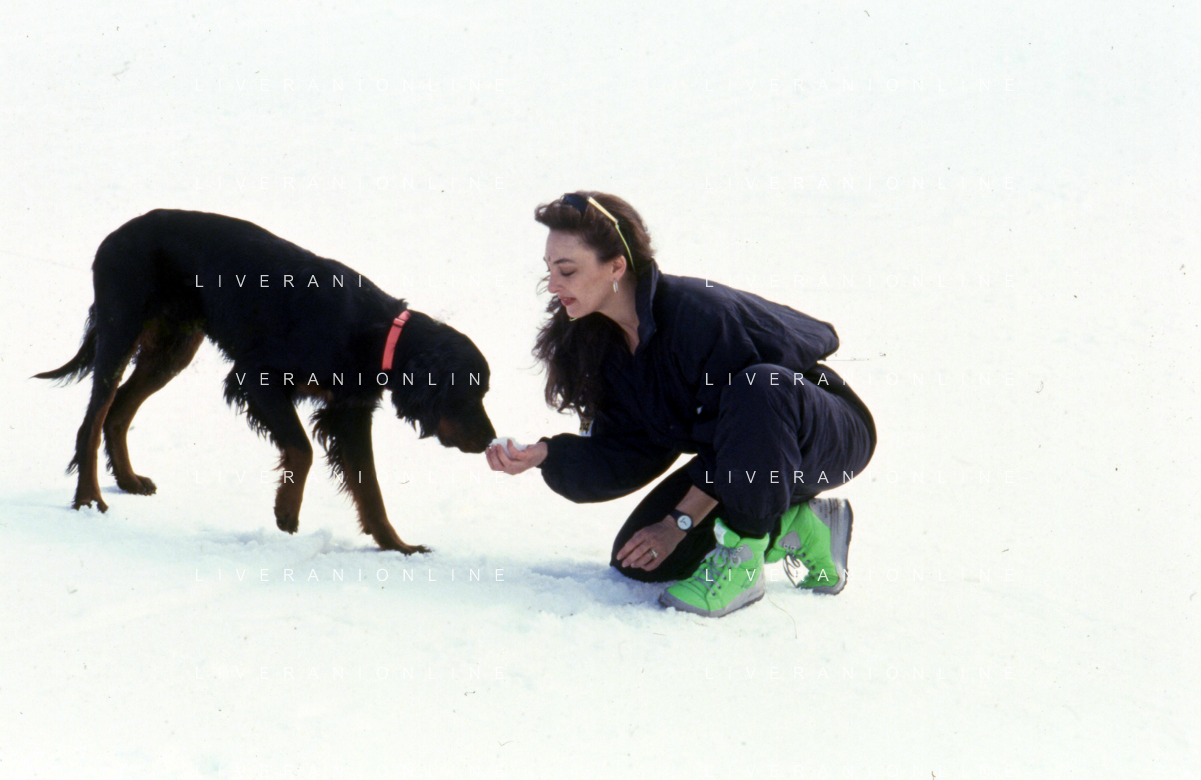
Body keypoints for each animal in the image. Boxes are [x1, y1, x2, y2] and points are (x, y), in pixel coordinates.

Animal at [36, 209, 496, 553]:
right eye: (467, 394)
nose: (490, 440)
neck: (377, 333)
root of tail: (115, 234)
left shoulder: (350, 411)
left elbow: (370, 487)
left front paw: (397, 546)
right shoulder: (257, 377)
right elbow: (301, 448)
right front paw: (286, 512)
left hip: (173, 347)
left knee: (118, 411)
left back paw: (128, 481)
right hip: (121, 330)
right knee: (93, 419)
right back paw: (88, 498)